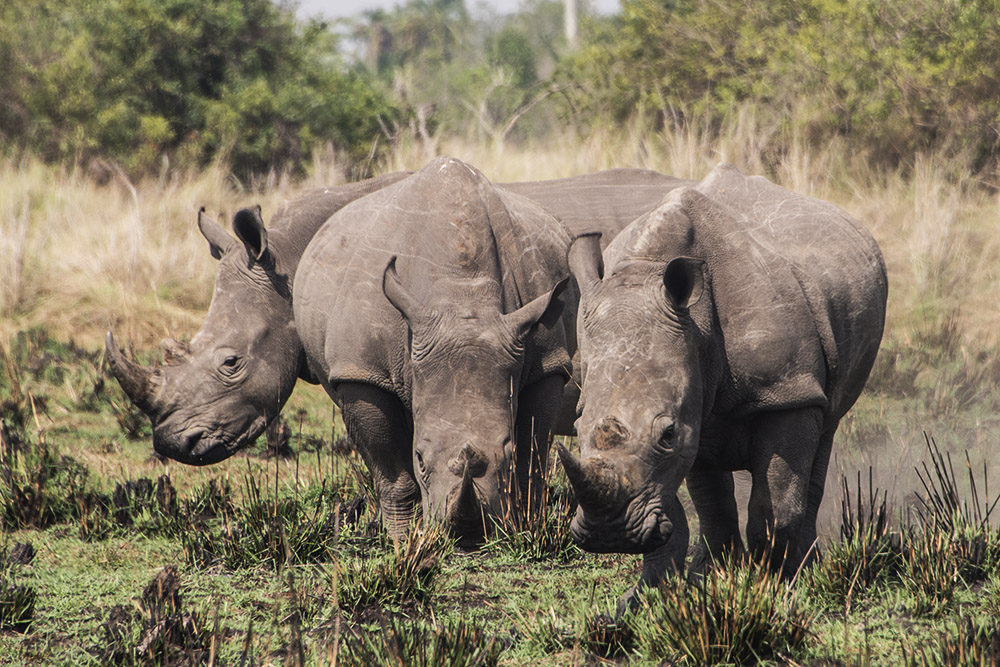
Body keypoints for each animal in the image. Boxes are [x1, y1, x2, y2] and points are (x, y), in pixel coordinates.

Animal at [560, 163, 887, 591]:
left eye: (667, 434)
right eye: (577, 428)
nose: (609, 536)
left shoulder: (786, 390)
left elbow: (775, 503)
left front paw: (772, 586)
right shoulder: (691, 401)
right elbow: (701, 502)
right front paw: (692, 586)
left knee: (825, 431)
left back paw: (806, 568)